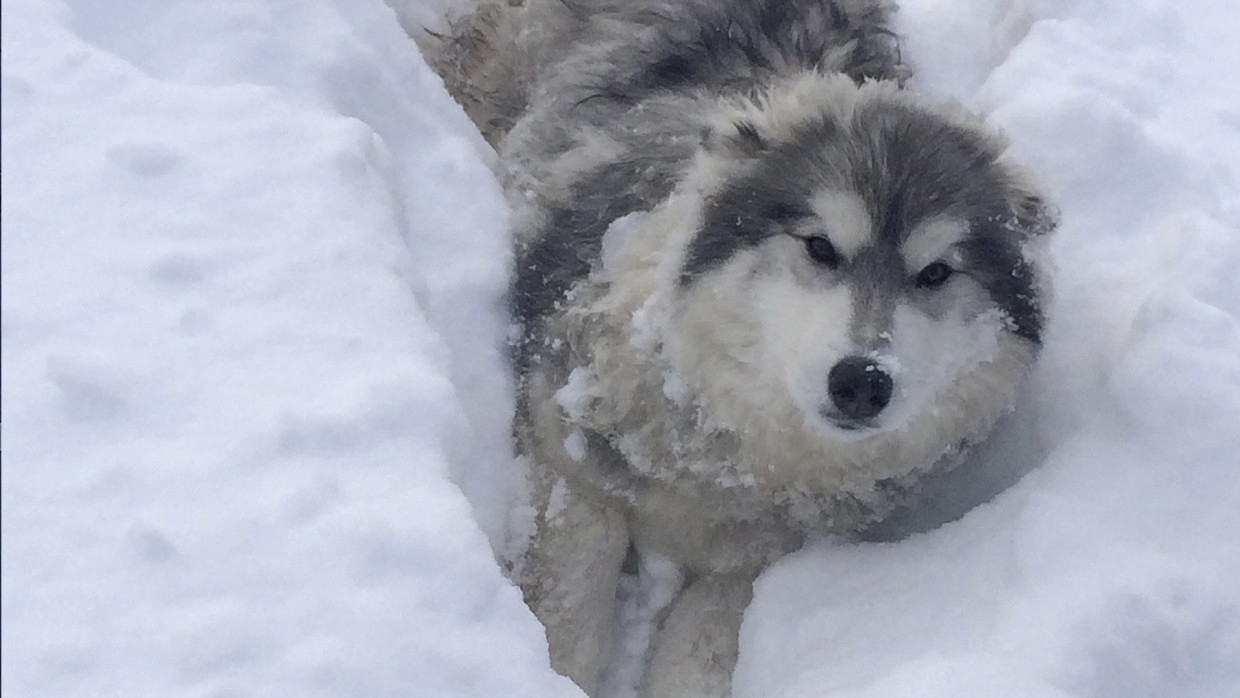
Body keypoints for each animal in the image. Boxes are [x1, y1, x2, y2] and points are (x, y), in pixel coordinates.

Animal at [421, 1, 1051, 698]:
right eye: (820, 246)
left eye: (936, 273)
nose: (862, 381)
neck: (733, 452)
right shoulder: (567, 453)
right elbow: (571, 609)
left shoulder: (756, 559)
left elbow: (704, 645)